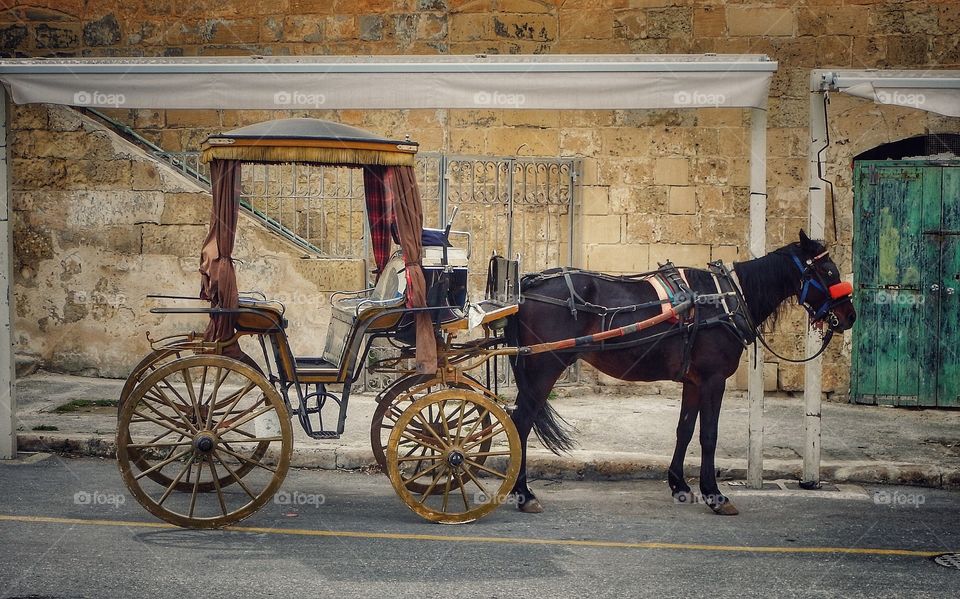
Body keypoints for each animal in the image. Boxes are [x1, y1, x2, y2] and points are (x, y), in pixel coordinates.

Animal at [506, 231, 860, 516]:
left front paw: (679, 484)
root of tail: (526, 287)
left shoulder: (694, 381)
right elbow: (709, 435)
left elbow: (685, 430)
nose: (850, 315)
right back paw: (522, 493)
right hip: (543, 370)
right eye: (828, 271)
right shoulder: (714, 380)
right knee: (520, 423)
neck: (726, 300)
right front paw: (714, 494)